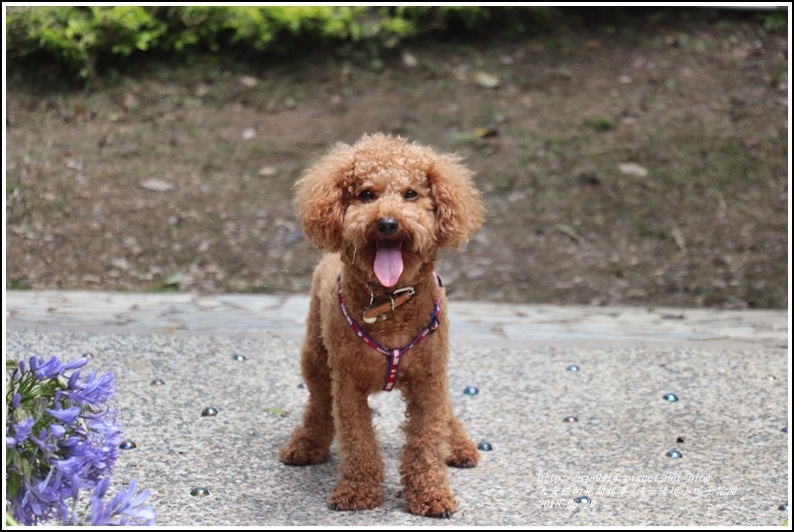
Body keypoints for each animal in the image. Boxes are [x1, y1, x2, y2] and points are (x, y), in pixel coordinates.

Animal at [282, 134, 486, 520]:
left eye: (411, 194)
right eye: (366, 194)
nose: (388, 223)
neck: (389, 302)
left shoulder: (428, 381)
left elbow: (426, 438)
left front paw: (431, 494)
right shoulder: (347, 384)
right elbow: (358, 439)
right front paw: (357, 492)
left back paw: (459, 446)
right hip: (315, 355)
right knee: (318, 402)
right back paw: (306, 444)